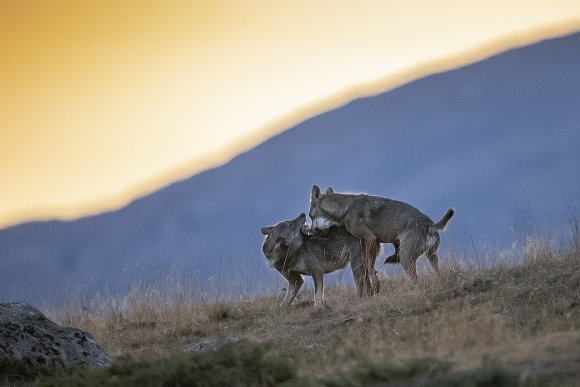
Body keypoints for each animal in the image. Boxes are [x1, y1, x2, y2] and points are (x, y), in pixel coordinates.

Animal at [308, 186, 454, 282]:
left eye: (310, 216)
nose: (311, 231)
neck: (345, 209)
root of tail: (431, 225)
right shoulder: (375, 242)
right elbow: (369, 265)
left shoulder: (370, 239)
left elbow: (370, 268)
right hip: (431, 256)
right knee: (438, 272)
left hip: (406, 258)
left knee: (416, 279)